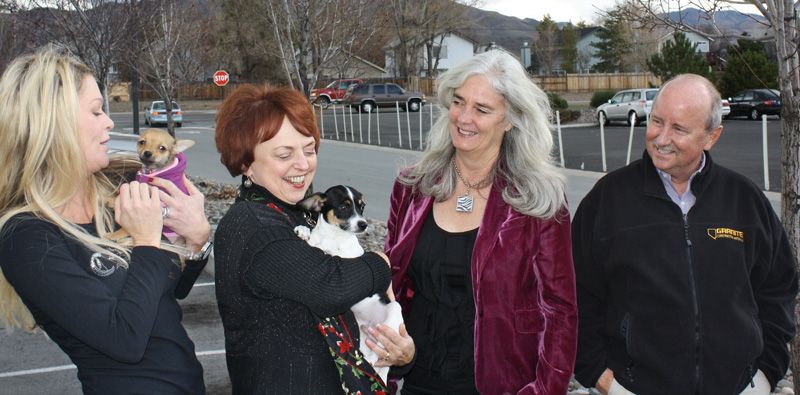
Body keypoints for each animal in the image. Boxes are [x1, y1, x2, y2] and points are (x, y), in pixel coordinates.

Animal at [294, 186, 404, 384]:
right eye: (344, 207)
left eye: (362, 207)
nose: (363, 225)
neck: (333, 235)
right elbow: (314, 241)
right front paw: (304, 230)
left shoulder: (349, 257)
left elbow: (331, 251)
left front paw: (324, 247)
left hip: (394, 310)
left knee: (379, 351)